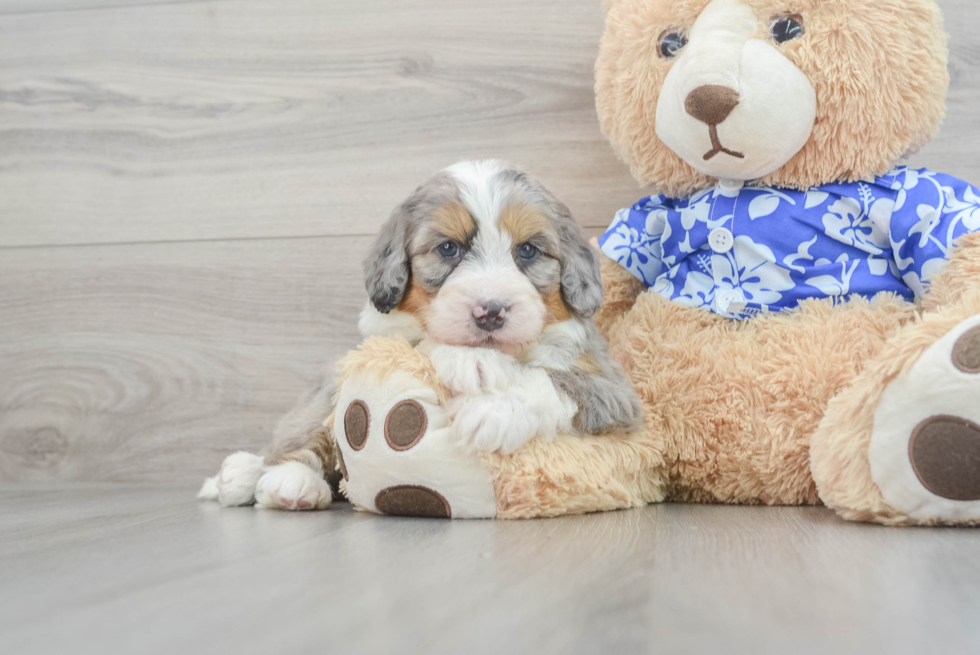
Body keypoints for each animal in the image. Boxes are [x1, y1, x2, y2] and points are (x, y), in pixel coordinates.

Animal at [199, 161, 644, 510]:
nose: (491, 311)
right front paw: (471, 360)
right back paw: (275, 478)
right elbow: (421, 341)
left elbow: (558, 380)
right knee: (303, 435)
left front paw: (492, 410)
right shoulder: (382, 335)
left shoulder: (617, 392)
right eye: (448, 248)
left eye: (528, 251)